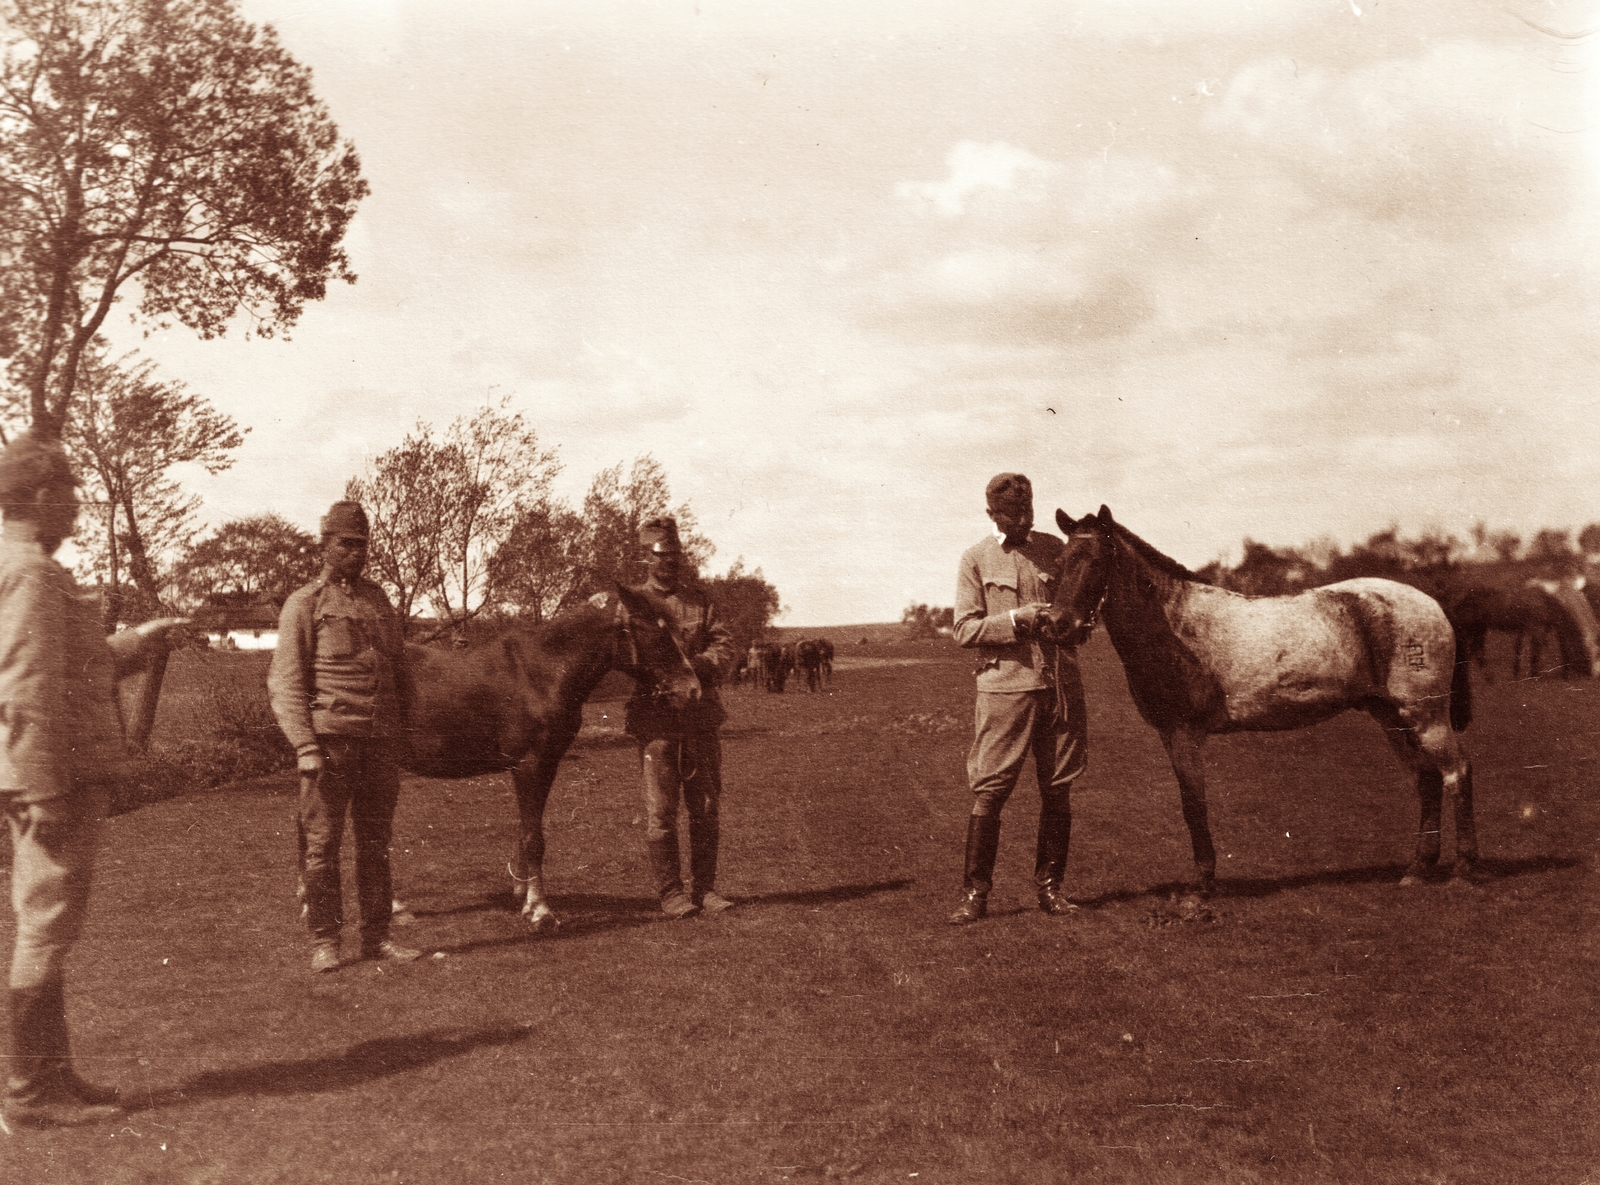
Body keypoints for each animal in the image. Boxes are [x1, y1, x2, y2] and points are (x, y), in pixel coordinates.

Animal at [400, 583, 702, 929]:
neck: (541, 674)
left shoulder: (547, 765)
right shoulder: (528, 765)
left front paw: (527, 899)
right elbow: (534, 839)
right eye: (655, 631)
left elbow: (528, 832)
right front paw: (541, 912)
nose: (692, 689)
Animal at [1043, 506, 1476, 896]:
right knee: (1427, 779)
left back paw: (1463, 871)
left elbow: (1193, 804)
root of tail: (1431, 603)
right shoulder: (1169, 734)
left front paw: (1202, 885)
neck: (1172, 626)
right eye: (1060, 562)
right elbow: (1190, 803)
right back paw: (1417, 870)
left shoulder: (1185, 733)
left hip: (1426, 714)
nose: (1058, 625)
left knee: (1457, 772)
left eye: (1097, 560)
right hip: (1390, 716)